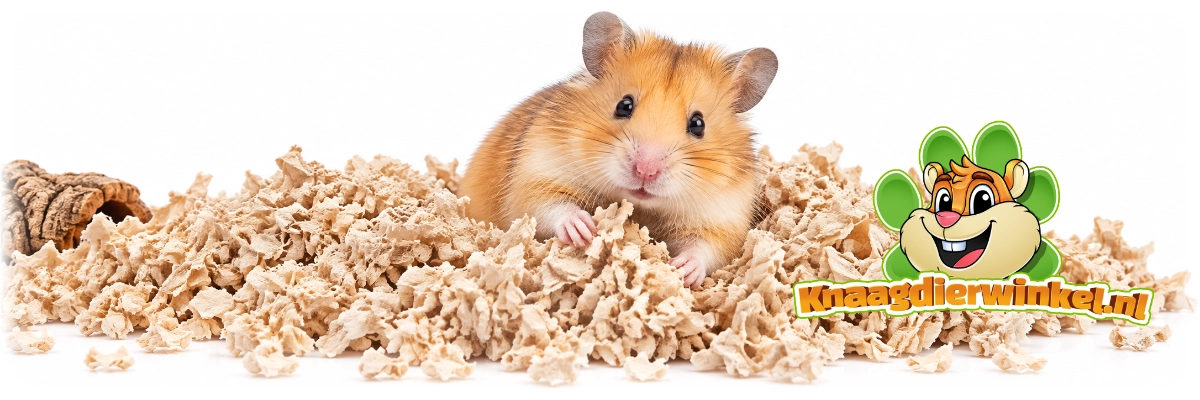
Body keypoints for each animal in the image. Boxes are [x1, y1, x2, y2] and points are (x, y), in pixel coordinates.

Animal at [459, 11, 778, 290]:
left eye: (698, 124)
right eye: (624, 105)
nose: (646, 170)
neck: (642, 206)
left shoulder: (724, 218)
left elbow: (707, 248)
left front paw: (681, 270)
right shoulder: (536, 175)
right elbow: (549, 206)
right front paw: (584, 230)